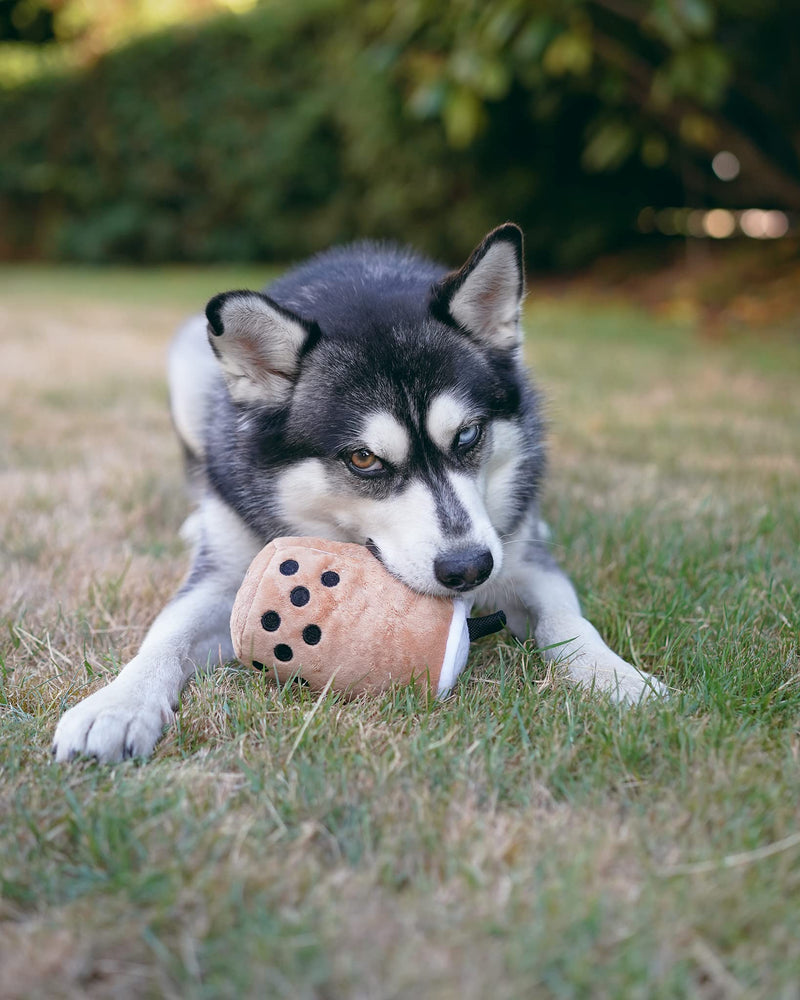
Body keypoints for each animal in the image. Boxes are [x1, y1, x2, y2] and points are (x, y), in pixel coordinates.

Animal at [51, 223, 668, 760]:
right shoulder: (227, 574)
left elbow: (568, 619)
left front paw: (615, 676)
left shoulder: (521, 562)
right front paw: (117, 703)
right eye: (363, 459)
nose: (469, 568)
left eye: (468, 435)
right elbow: (166, 633)